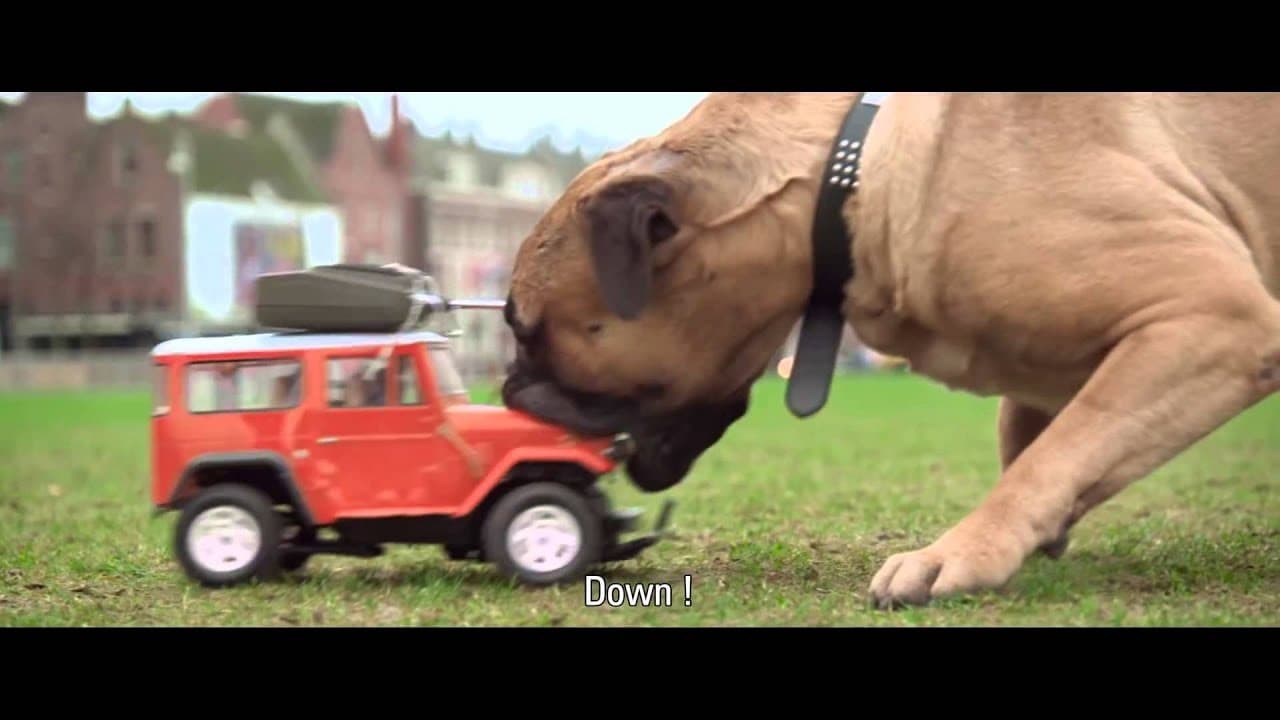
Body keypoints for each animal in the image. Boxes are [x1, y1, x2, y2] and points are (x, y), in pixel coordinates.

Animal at [501, 92, 1280, 608]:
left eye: (525, 328)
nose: (506, 388)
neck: (854, 175)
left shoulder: (1212, 316)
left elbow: (1054, 454)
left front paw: (961, 551)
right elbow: (1033, 437)